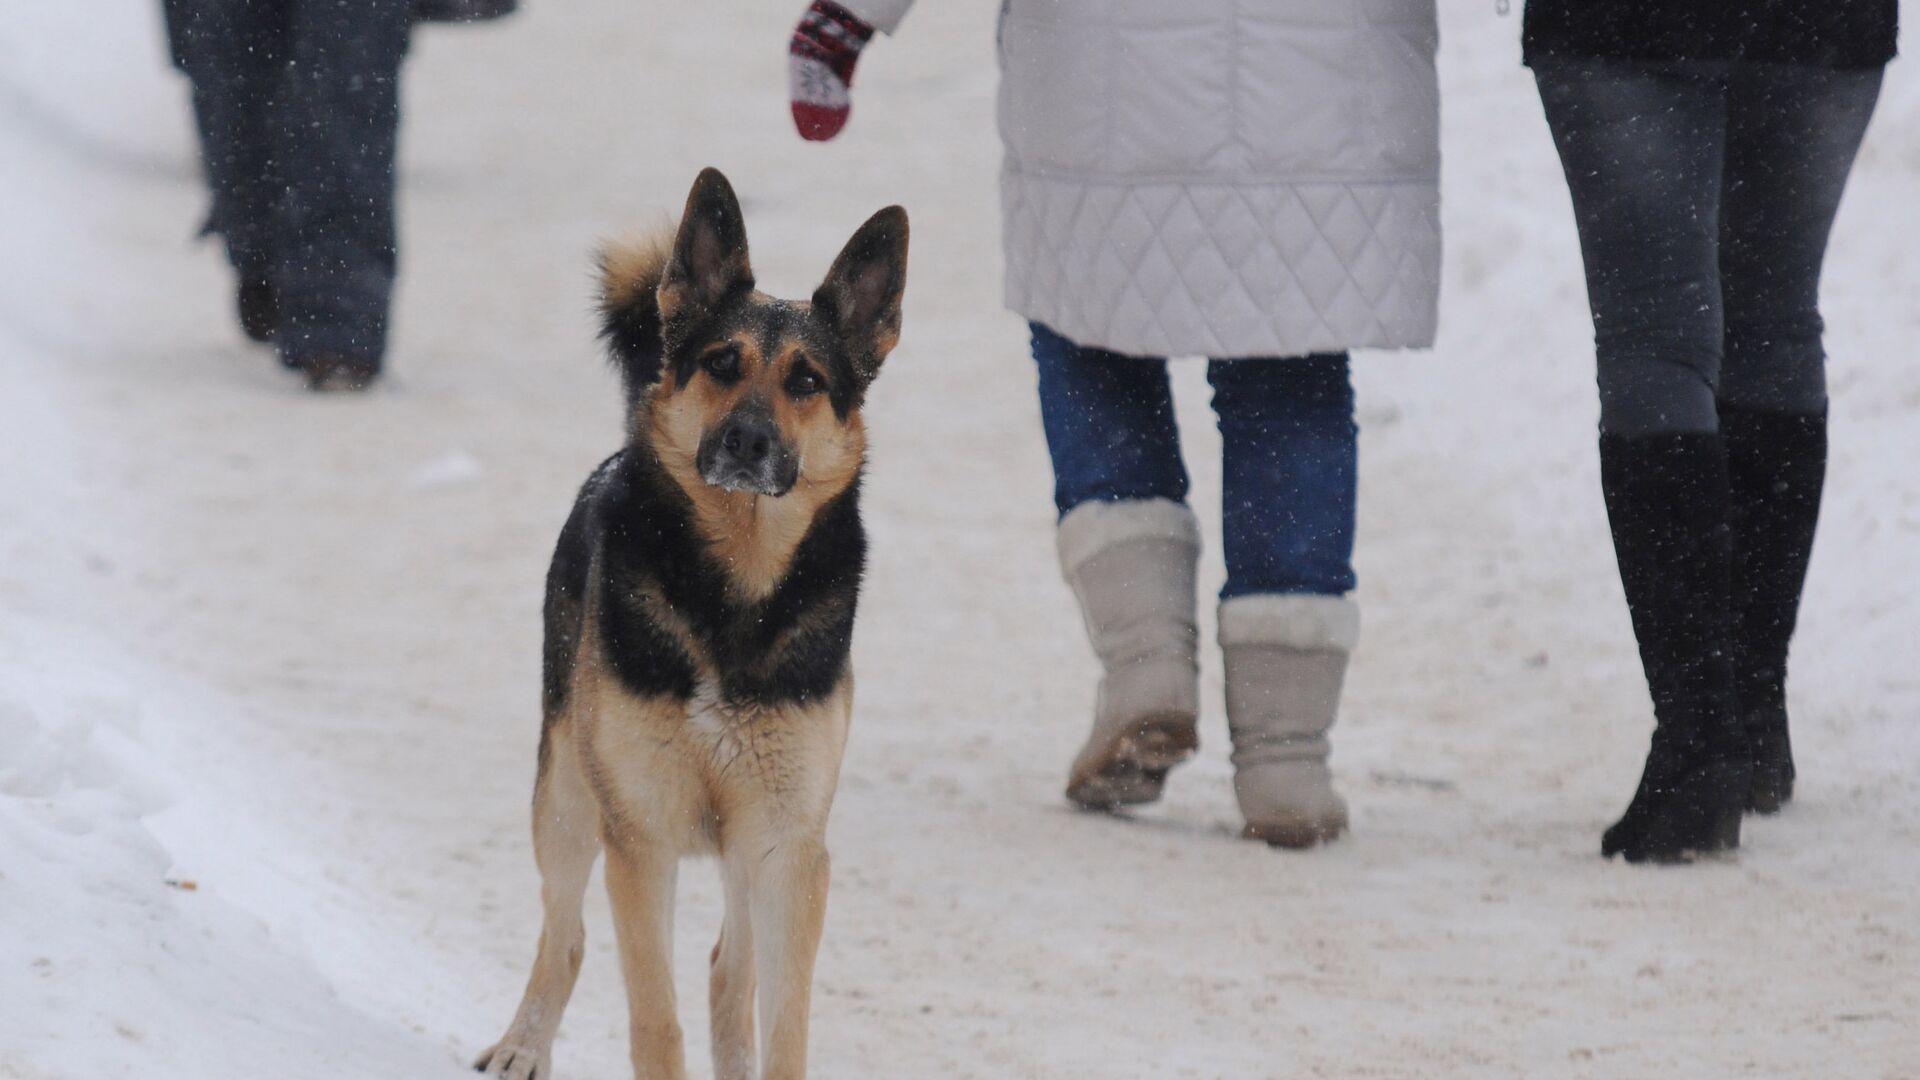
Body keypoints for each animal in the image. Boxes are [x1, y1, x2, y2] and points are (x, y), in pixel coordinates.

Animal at [476, 168, 902, 1076]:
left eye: (807, 381)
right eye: (721, 364)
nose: (745, 439)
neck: (732, 590)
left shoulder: (788, 847)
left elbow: (782, 1022)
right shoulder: (639, 836)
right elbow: (654, 1018)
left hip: (746, 845)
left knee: (727, 969)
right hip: (567, 798)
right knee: (564, 934)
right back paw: (525, 1045)